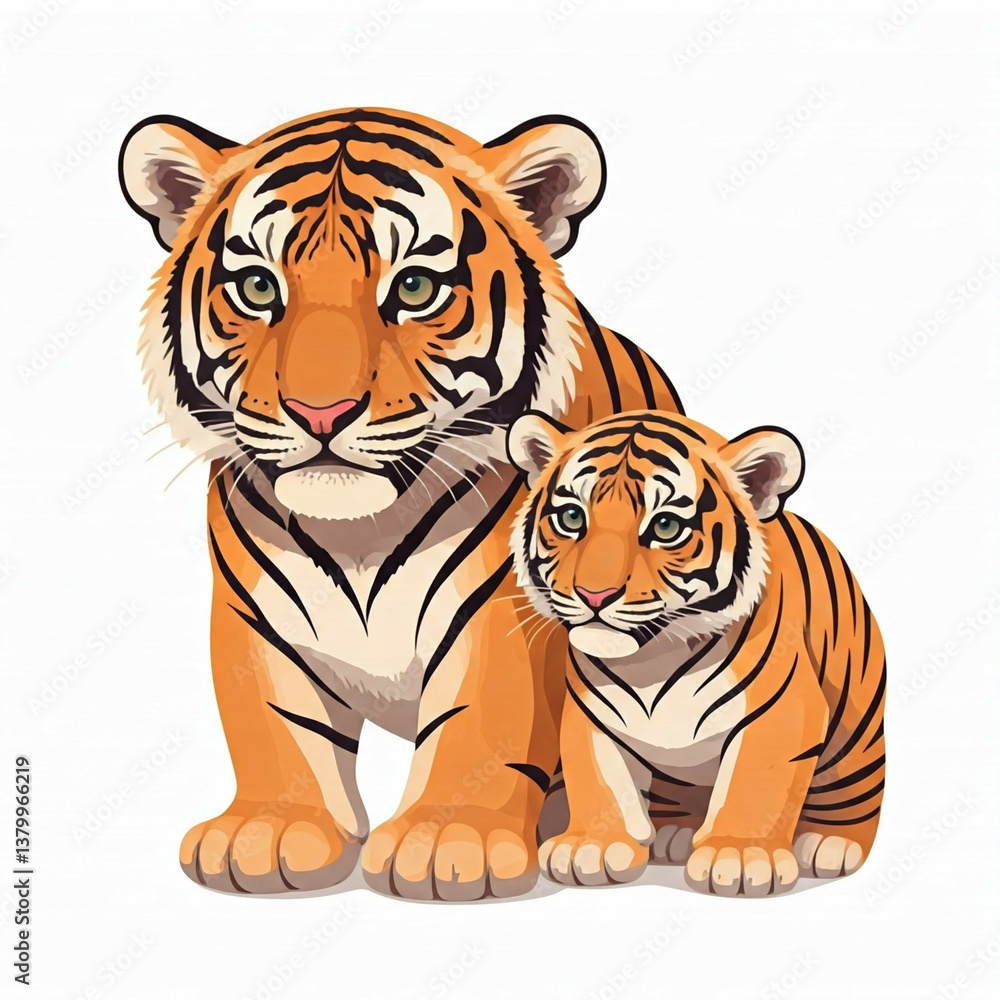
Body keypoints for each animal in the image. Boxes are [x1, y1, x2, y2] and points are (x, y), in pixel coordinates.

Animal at [118, 107, 683, 899]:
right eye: (258, 288)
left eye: (414, 288)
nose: (320, 413)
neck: (360, 534)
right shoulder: (252, 609)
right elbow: (273, 721)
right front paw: (272, 830)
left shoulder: (504, 612)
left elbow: (483, 720)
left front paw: (448, 841)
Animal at [507, 409, 886, 896]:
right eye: (572, 517)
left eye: (666, 527)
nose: (594, 595)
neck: (653, 660)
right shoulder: (591, 713)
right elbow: (601, 778)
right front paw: (594, 847)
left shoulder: (781, 710)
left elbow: (752, 782)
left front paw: (739, 858)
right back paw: (676, 834)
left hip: (857, 732)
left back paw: (829, 844)